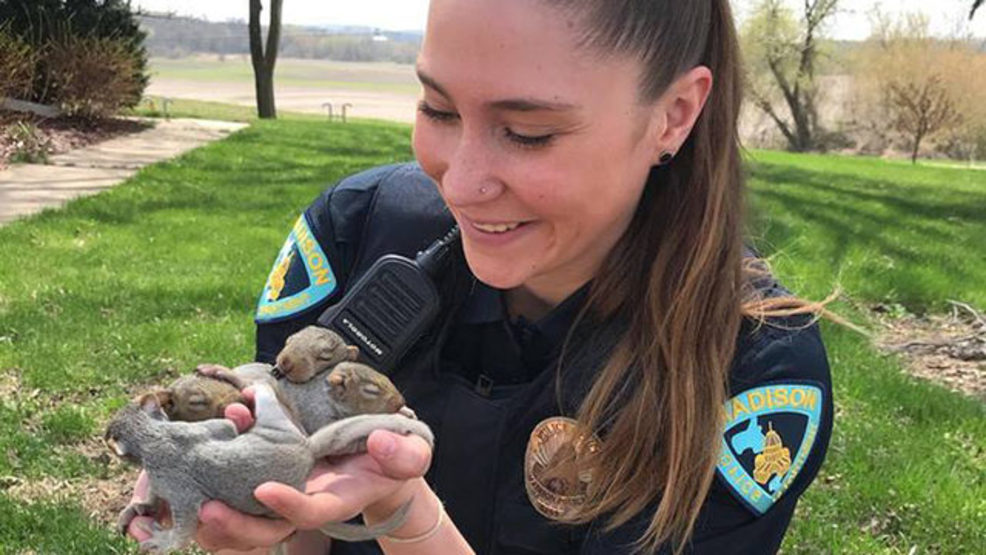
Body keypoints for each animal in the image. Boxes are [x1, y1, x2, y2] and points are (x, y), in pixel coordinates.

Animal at [106, 382, 434, 554]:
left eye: (109, 430)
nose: (103, 435)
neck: (151, 433)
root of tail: (306, 450)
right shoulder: (194, 432)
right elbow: (224, 428)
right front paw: (136, 509)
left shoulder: (174, 481)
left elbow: (184, 522)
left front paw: (162, 541)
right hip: (277, 424)